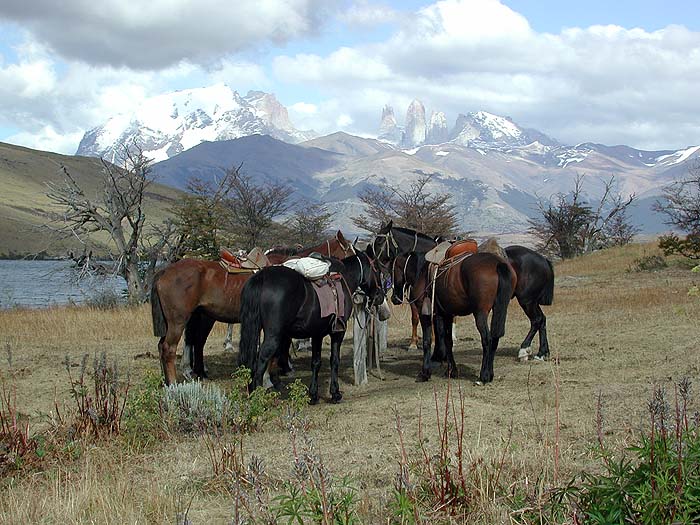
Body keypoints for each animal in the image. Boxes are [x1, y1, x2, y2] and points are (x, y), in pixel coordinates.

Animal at [148, 231, 356, 382]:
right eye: (351, 253)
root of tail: (164, 271)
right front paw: (280, 370)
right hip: (180, 320)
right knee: (170, 348)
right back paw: (174, 382)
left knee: (176, 344)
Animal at [238, 252, 386, 404]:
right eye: (377, 270)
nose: (380, 295)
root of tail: (262, 276)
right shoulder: (338, 333)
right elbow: (334, 360)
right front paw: (335, 393)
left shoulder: (317, 334)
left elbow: (316, 362)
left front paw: (313, 395)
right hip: (274, 336)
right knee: (260, 362)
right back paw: (257, 397)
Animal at [374, 221, 556, 360]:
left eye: (379, 243)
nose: (375, 264)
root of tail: (543, 259)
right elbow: (419, 320)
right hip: (530, 301)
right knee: (542, 319)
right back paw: (542, 352)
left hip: (527, 300)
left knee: (537, 320)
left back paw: (524, 350)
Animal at [392, 250, 516, 380]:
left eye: (393, 269)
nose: (393, 298)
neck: (422, 273)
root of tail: (498, 264)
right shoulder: (446, 314)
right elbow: (447, 340)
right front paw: (452, 371)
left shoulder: (424, 313)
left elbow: (427, 341)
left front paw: (425, 373)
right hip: (500, 309)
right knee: (495, 337)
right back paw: (490, 373)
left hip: (480, 313)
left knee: (487, 339)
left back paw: (484, 375)